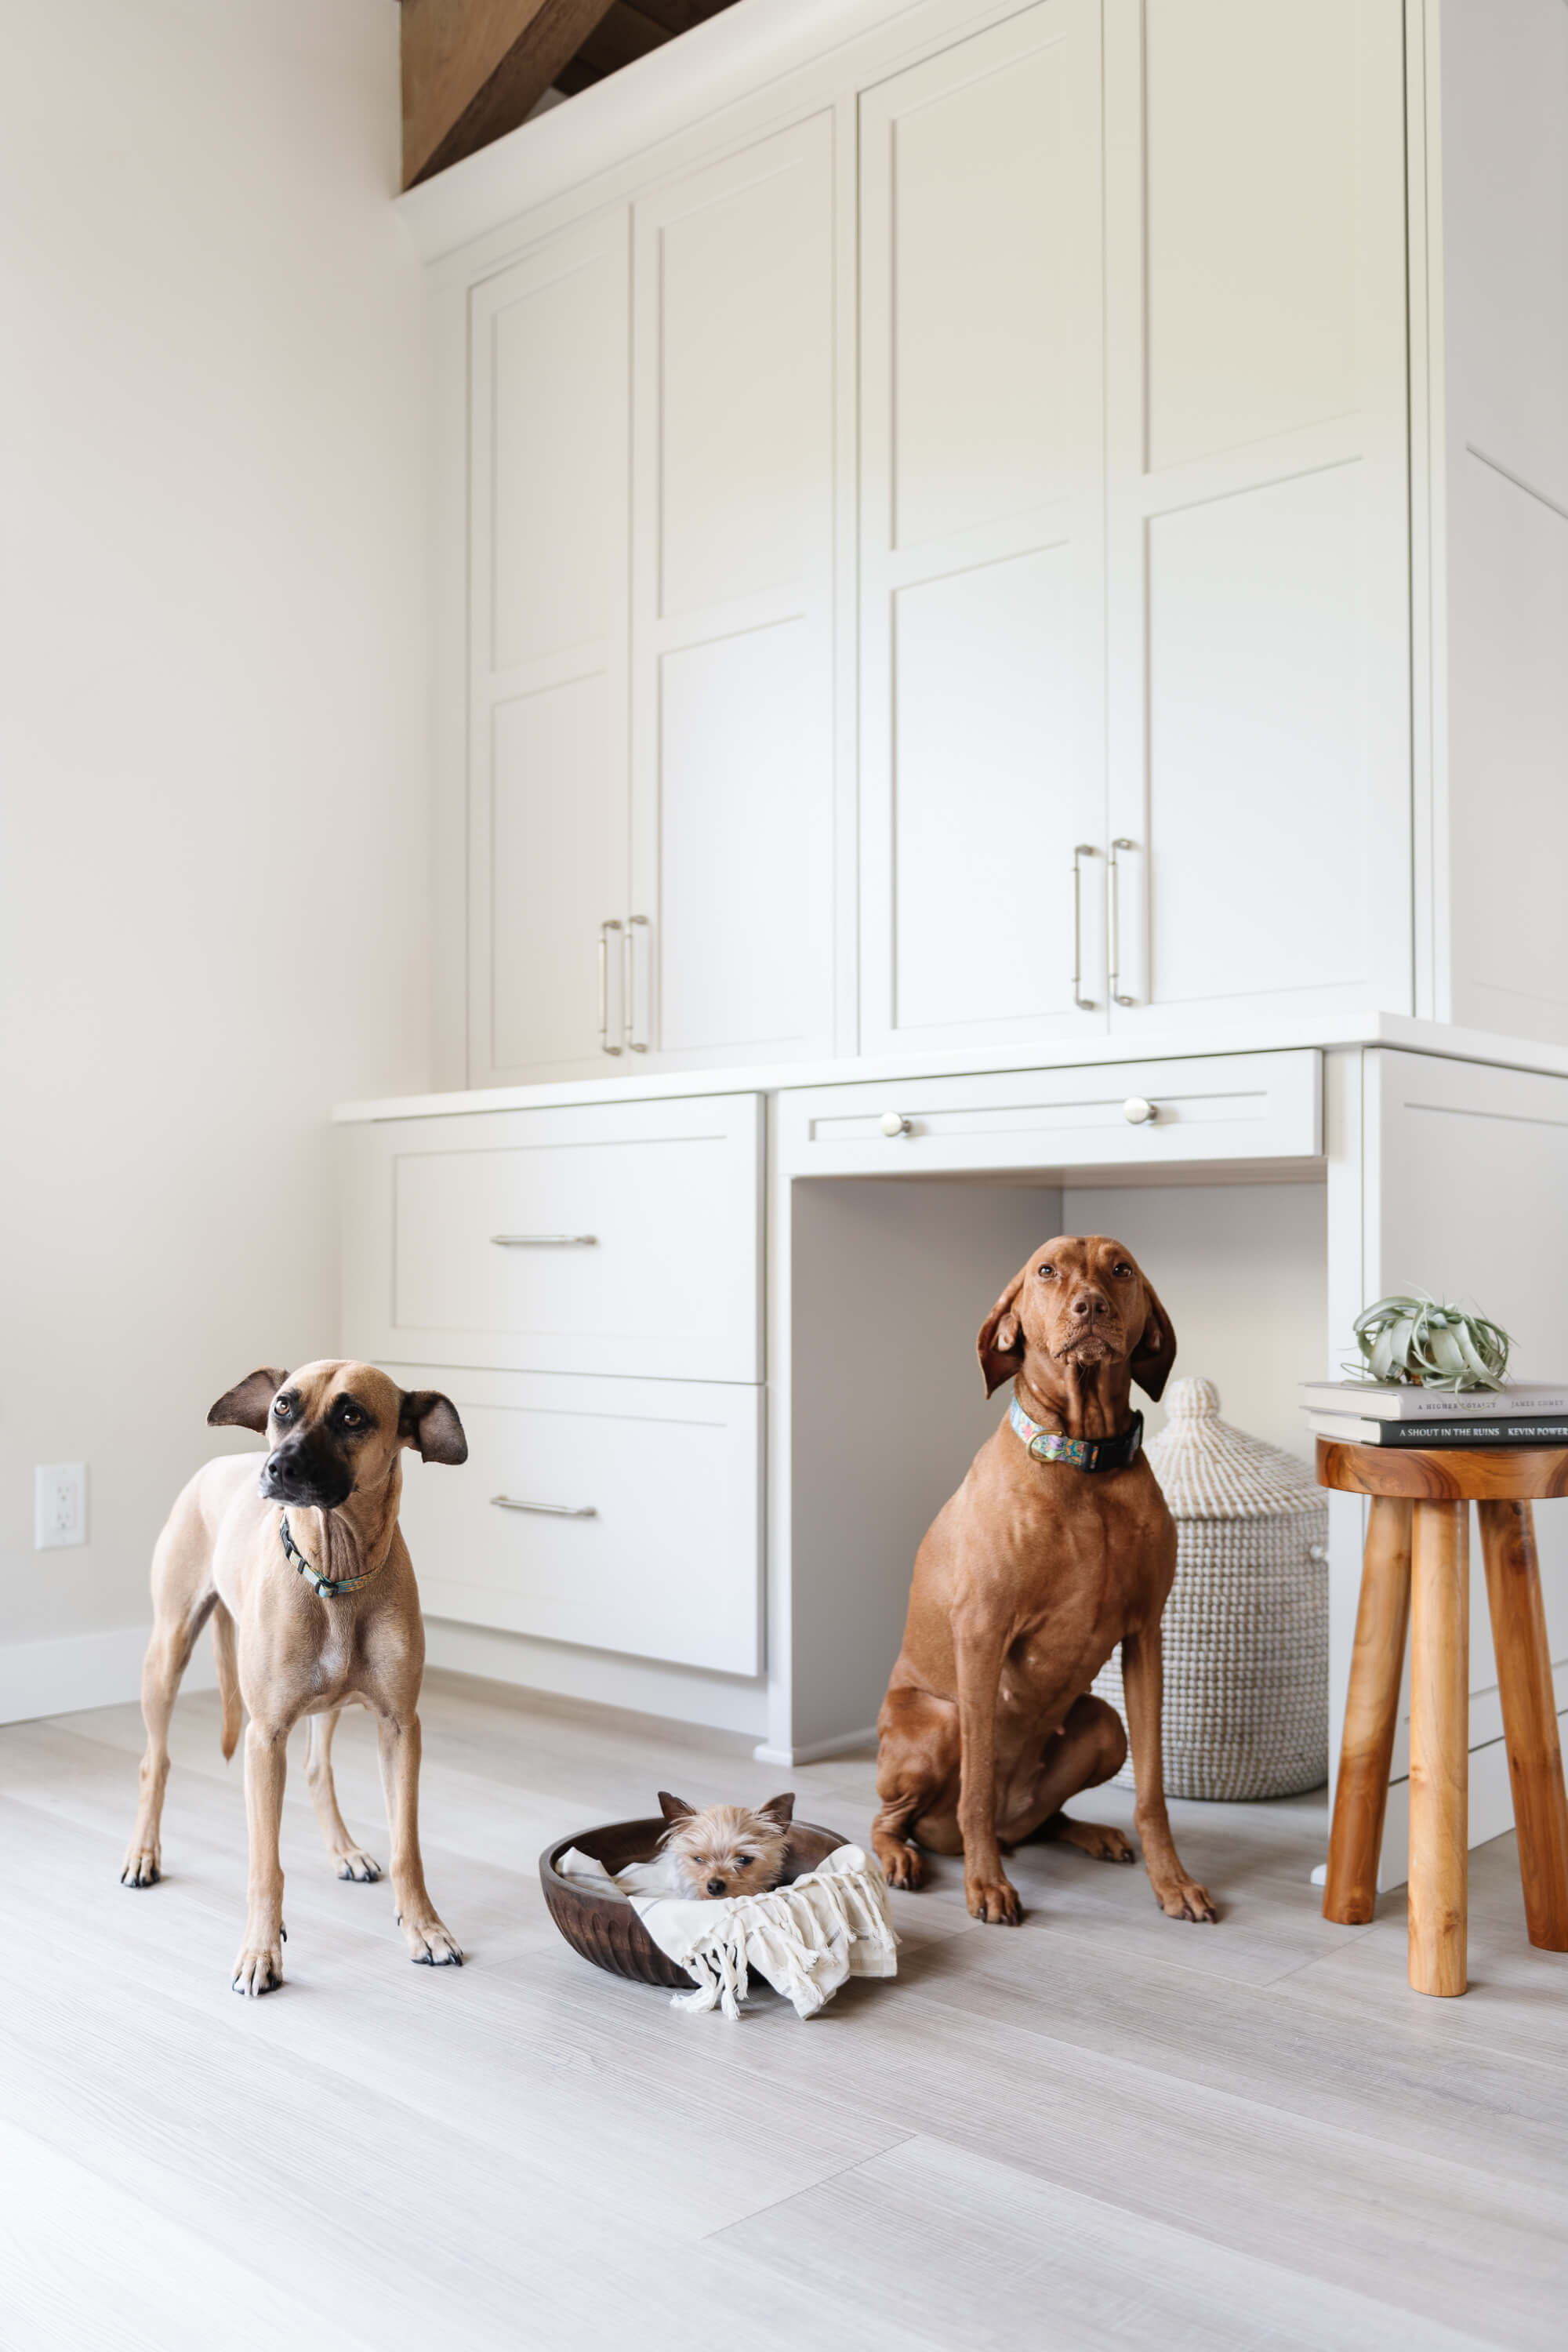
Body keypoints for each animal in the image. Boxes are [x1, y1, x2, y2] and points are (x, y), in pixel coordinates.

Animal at [122, 1364, 465, 1985]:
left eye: (352, 1416)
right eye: (283, 1405)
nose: (277, 1467)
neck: (335, 1567)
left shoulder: (401, 1728)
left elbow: (407, 1848)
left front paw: (425, 1928)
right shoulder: (266, 1736)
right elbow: (266, 1865)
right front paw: (260, 1951)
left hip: (327, 1703)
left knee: (315, 1769)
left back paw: (345, 1851)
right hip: (167, 1652)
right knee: (153, 1762)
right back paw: (142, 1854)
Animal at [869, 1242, 1213, 1919]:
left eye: (1121, 1269)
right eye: (1047, 1272)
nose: (1091, 1307)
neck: (1085, 1464)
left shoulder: (1145, 1635)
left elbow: (1152, 1791)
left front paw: (1173, 1881)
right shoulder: (982, 1636)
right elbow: (976, 1787)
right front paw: (986, 1885)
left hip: (1103, 1727)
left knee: (1039, 1821)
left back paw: (1091, 1833)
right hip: (938, 1724)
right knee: (894, 1819)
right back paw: (904, 1856)